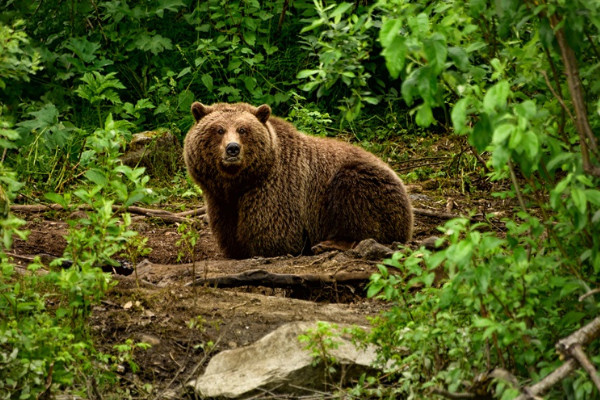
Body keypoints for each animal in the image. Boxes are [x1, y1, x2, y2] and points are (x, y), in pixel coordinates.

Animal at [184, 101, 412, 260]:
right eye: (219, 129)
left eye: (243, 129)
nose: (232, 148)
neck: (240, 181)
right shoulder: (220, 199)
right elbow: (228, 231)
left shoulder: (276, 188)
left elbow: (274, 232)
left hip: (367, 184)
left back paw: (329, 244)